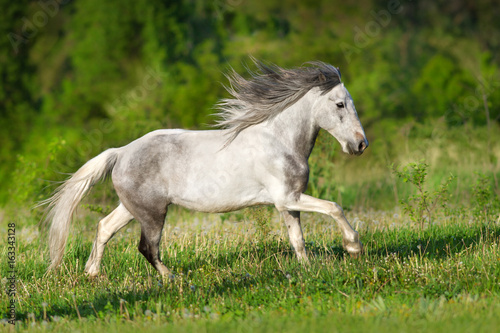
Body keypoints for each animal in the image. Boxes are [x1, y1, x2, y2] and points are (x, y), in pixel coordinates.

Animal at [45, 59, 370, 274]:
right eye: (340, 104)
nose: (361, 145)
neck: (279, 140)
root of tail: (121, 152)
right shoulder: (288, 197)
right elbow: (334, 207)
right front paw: (353, 247)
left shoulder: (287, 202)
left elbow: (298, 239)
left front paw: (307, 269)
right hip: (153, 213)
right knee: (147, 247)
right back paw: (172, 279)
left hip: (132, 207)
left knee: (104, 228)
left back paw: (92, 274)